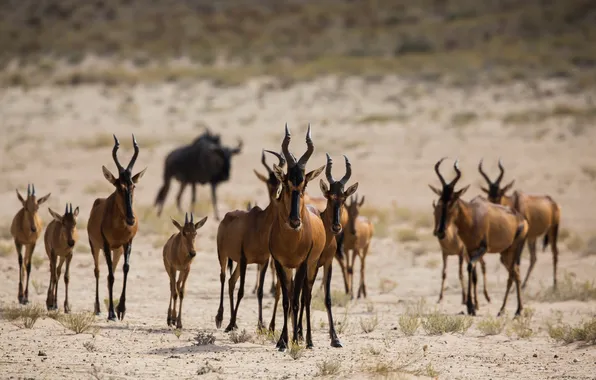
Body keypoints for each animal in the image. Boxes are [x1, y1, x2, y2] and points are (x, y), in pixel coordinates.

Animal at [86, 134, 146, 320]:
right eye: (118, 187)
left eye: (133, 185)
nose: (131, 219)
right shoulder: (105, 245)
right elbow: (111, 276)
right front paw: (112, 313)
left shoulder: (128, 243)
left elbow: (125, 269)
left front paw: (121, 309)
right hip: (95, 247)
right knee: (98, 271)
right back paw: (98, 308)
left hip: (117, 250)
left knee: (108, 272)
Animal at [215, 149, 288, 332]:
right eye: (269, 182)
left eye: (280, 182)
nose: (276, 195)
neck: (259, 224)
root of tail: (226, 218)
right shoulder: (243, 258)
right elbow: (241, 291)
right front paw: (230, 324)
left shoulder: (263, 261)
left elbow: (260, 292)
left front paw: (261, 325)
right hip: (223, 255)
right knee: (223, 277)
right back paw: (220, 318)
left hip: (239, 263)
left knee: (231, 281)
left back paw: (232, 322)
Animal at [268, 124, 326, 350]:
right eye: (286, 183)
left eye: (304, 185)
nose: (295, 222)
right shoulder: (280, 263)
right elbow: (286, 300)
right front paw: (283, 341)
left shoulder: (303, 263)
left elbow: (297, 301)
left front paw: (294, 340)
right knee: (294, 295)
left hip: (312, 266)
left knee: (305, 298)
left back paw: (306, 339)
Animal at [430, 158, 528, 318]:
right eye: (441, 200)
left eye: (453, 200)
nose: (440, 232)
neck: (472, 216)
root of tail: (521, 218)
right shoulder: (470, 250)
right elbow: (473, 272)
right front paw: (471, 306)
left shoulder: (483, 248)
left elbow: (470, 267)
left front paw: (471, 306)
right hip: (505, 253)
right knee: (515, 273)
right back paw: (509, 310)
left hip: (516, 248)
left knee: (513, 274)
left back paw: (512, 310)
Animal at [478, 160, 560, 288]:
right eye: (489, 196)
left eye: (500, 194)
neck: (514, 202)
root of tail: (552, 202)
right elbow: (507, 260)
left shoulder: (522, 236)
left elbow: (517, 260)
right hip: (532, 237)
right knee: (533, 258)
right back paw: (524, 285)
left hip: (553, 229)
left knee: (555, 253)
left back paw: (555, 286)